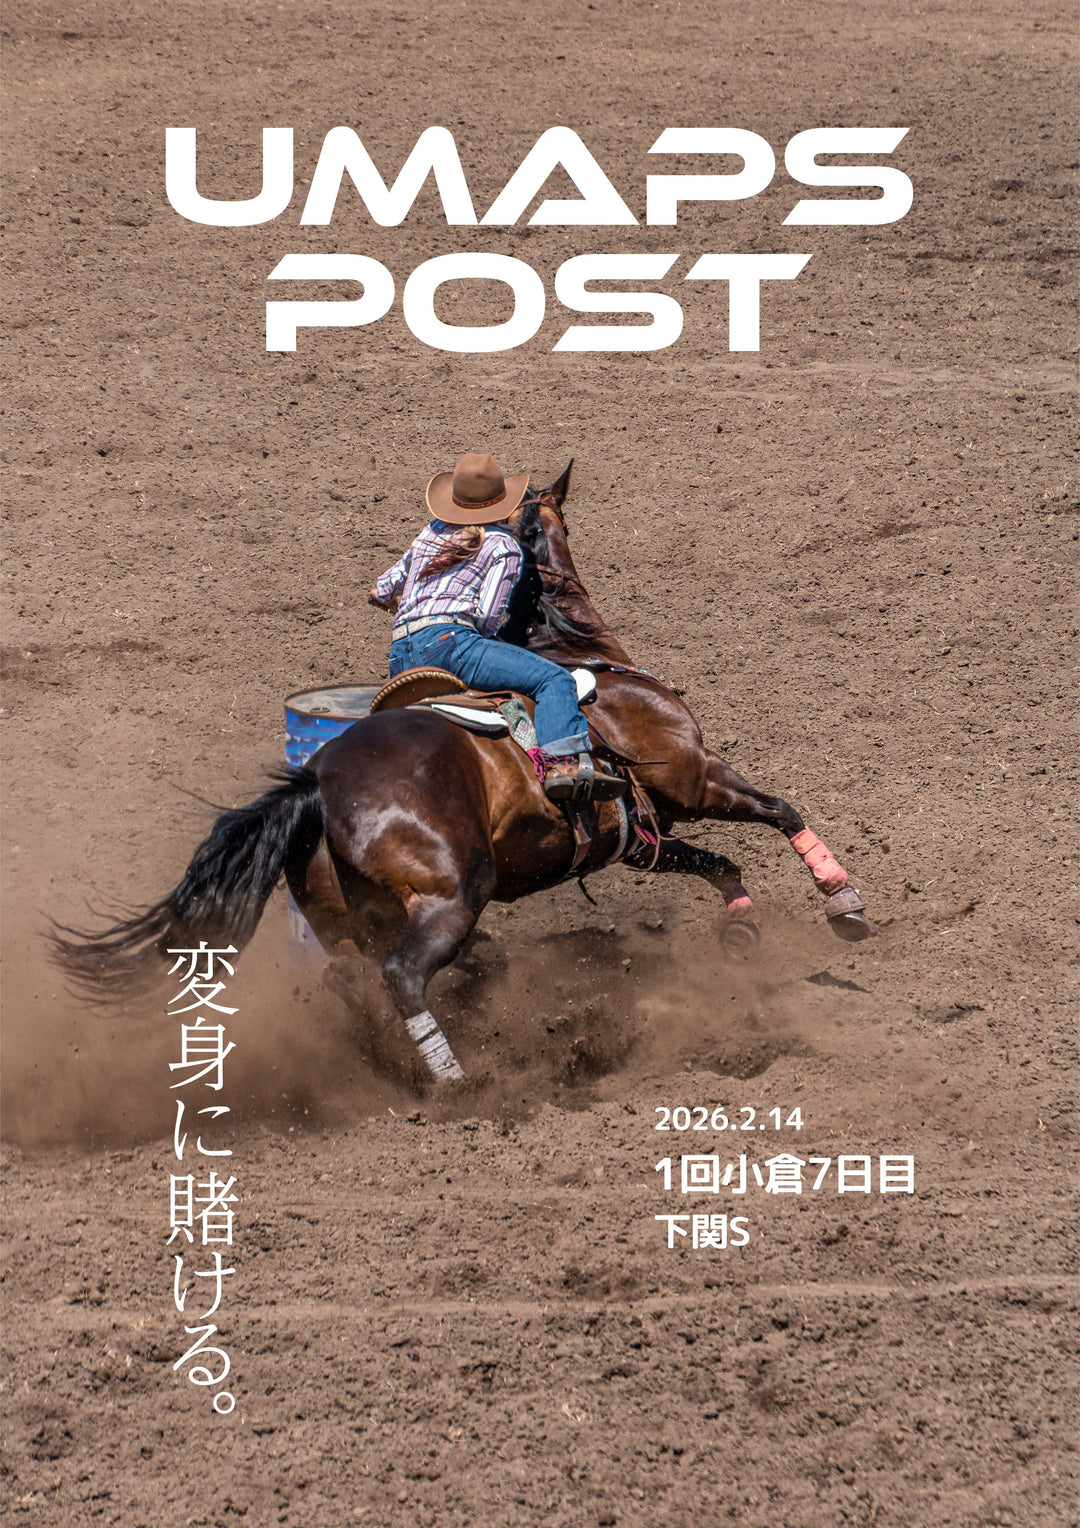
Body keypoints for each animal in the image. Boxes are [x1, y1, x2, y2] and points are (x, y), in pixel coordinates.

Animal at [51, 463, 868, 1085]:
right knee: (403, 975)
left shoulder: (638, 836)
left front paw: (743, 926)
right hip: (453, 891)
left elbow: (715, 862)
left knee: (350, 976)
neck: (583, 658)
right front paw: (843, 903)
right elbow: (780, 809)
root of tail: (318, 783)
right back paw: (453, 1077)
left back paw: (405, 1054)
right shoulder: (693, 776)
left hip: (350, 914)